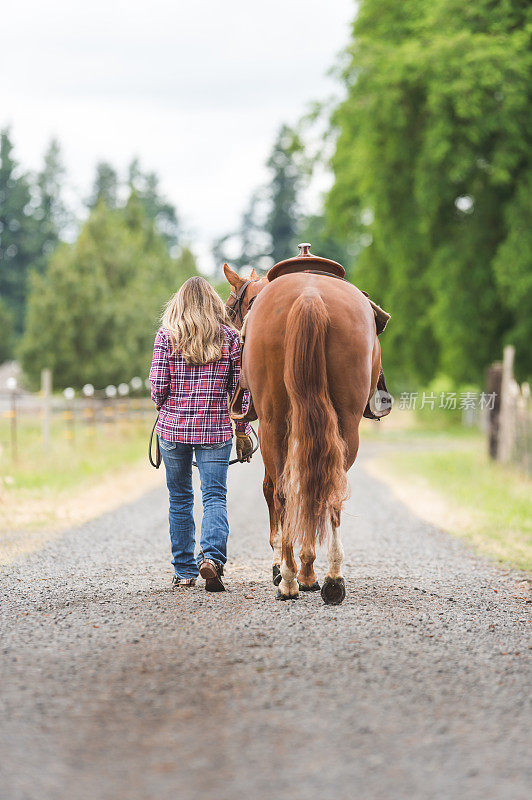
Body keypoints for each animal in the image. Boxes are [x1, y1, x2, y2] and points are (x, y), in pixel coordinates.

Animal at [223, 253, 382, 604]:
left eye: (229, 309)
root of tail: (309, 296)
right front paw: (308, 570)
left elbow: (275, 491)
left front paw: (284, 568)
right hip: (344, 425)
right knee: (330, 490)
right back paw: (332, 578)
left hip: (274, 425)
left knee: (281, 492)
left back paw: (289, 580)